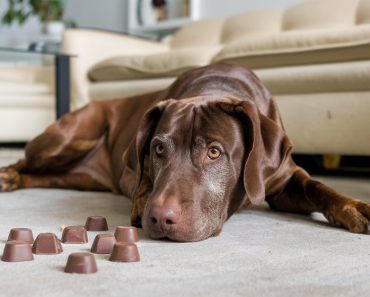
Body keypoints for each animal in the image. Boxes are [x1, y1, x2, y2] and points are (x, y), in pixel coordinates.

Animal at [0, 63, 370, 240]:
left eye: (215, 153)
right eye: (157, 149)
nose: (160, 218)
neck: (216, 87)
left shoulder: (282, 179)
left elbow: (318, 186)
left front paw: (353, 207)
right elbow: (143, 182)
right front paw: (142, 199)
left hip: (75, 175)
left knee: (41, 176)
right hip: (71, 138)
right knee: (24, 160)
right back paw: (6, 175)